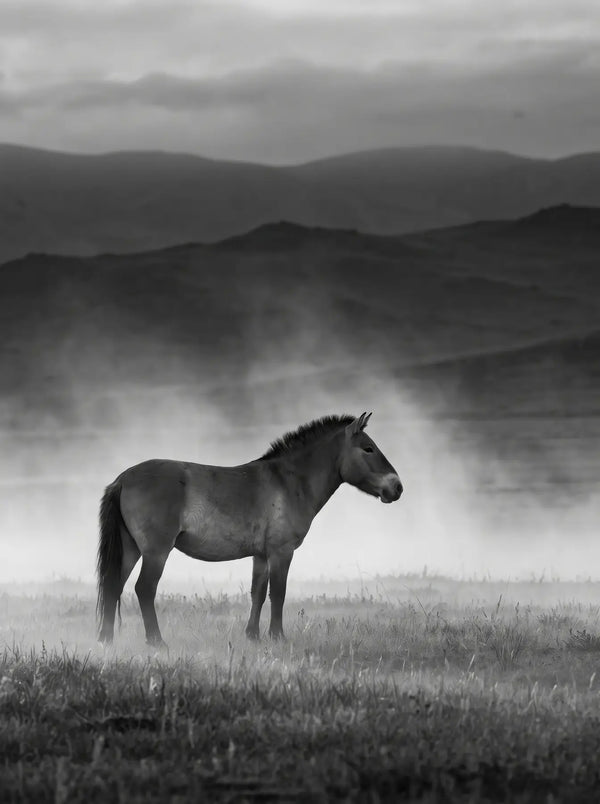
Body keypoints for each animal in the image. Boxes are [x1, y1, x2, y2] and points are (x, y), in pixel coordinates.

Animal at [97, 412, 402, 647]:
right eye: (368, 448)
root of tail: (123, 479)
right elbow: (278, 593)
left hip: (131, 548)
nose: (397, 487)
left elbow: (258, 592)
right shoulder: (281, 551)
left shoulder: (261, 554)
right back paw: (157, 642)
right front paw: (277, 637)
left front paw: (253, 636)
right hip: (156, 551)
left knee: (113, 586)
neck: (289, 481)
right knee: (144, 588)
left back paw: (106, 641)